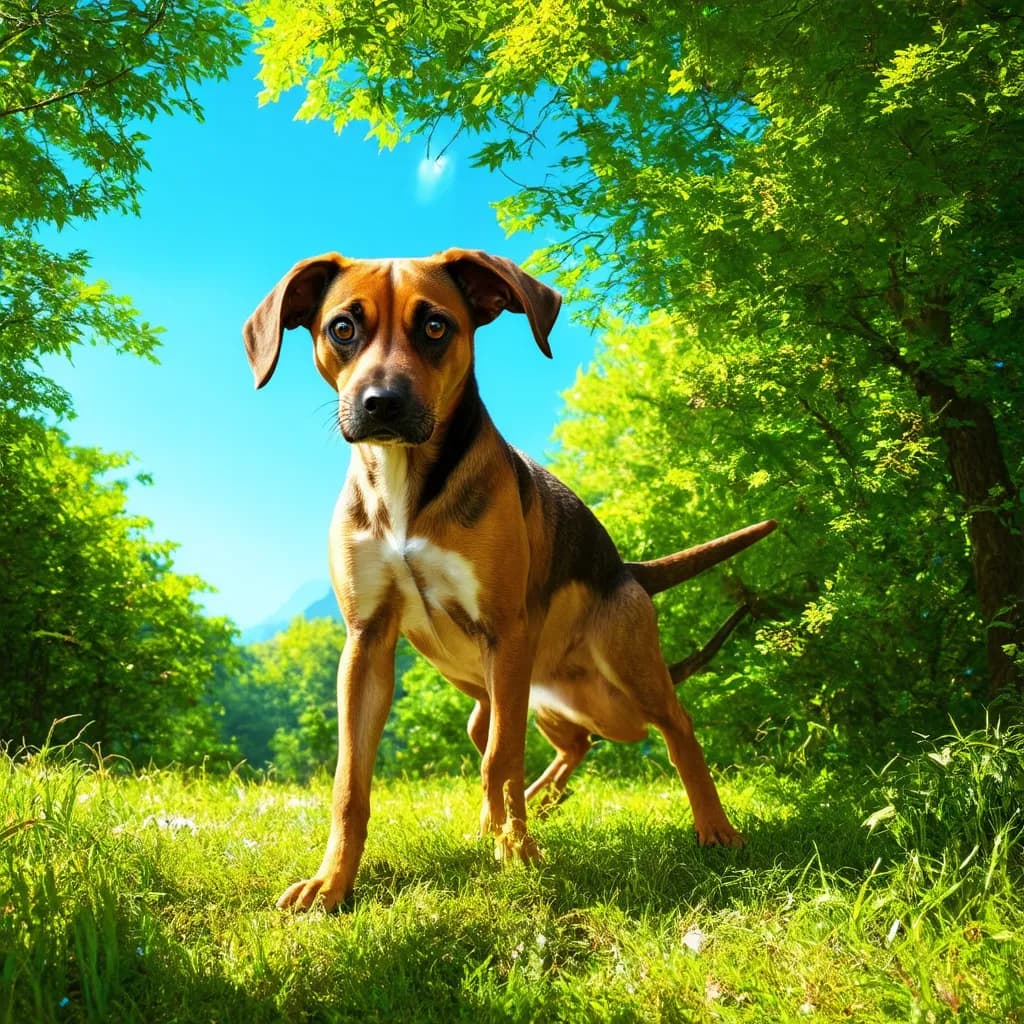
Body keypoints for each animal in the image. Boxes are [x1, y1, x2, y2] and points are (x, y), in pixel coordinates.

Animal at [245, 249, 774, 913]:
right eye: (342, 327)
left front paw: (518, 855)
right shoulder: (366, 643)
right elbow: (351, 784)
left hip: (624, 677)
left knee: (674, 727)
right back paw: (535, 806)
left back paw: (712, 827)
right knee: (567, 745)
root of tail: (628, 570)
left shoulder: (505, 632)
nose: (380, 403)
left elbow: (504, 759)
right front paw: (332, 883)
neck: (408, 485)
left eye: (436, 326)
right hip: (516, 697)